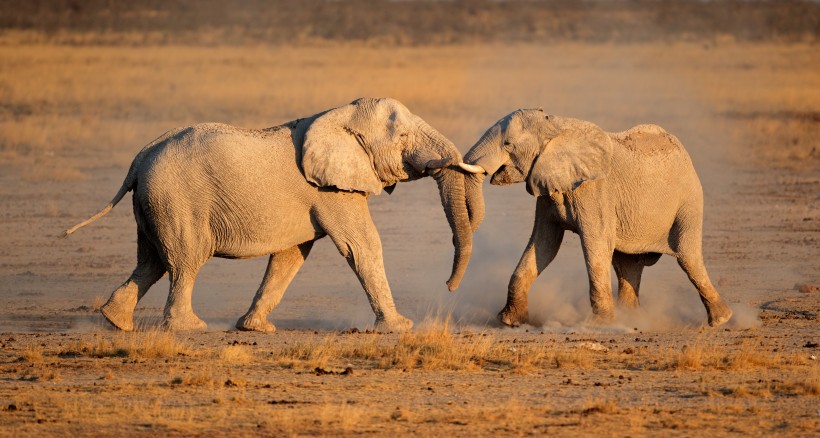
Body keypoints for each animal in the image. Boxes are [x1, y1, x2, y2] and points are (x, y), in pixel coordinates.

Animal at [65, 98, 480, 332]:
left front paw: (256, 329)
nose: (448, 287)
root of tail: (139, 159)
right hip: (175, 199)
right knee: (184, 261)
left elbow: (290, 256)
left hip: (154, 202)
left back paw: (115, 322)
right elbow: (361, 246)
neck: (339, 115)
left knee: (151, 262)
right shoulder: (332, 191)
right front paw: (400, 328)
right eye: (403, 139)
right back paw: (190, 328)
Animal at [458, 108, 732, 328]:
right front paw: (510, 321)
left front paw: (600, 325)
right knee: (628, 264)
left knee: (688, 257)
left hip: (689, 201)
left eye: (507, 144)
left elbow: (595, 245)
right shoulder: (548, 188)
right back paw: (632, 319)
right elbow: (543, 245)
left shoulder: (595, 192)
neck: (555, 127)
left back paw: (721, 320)